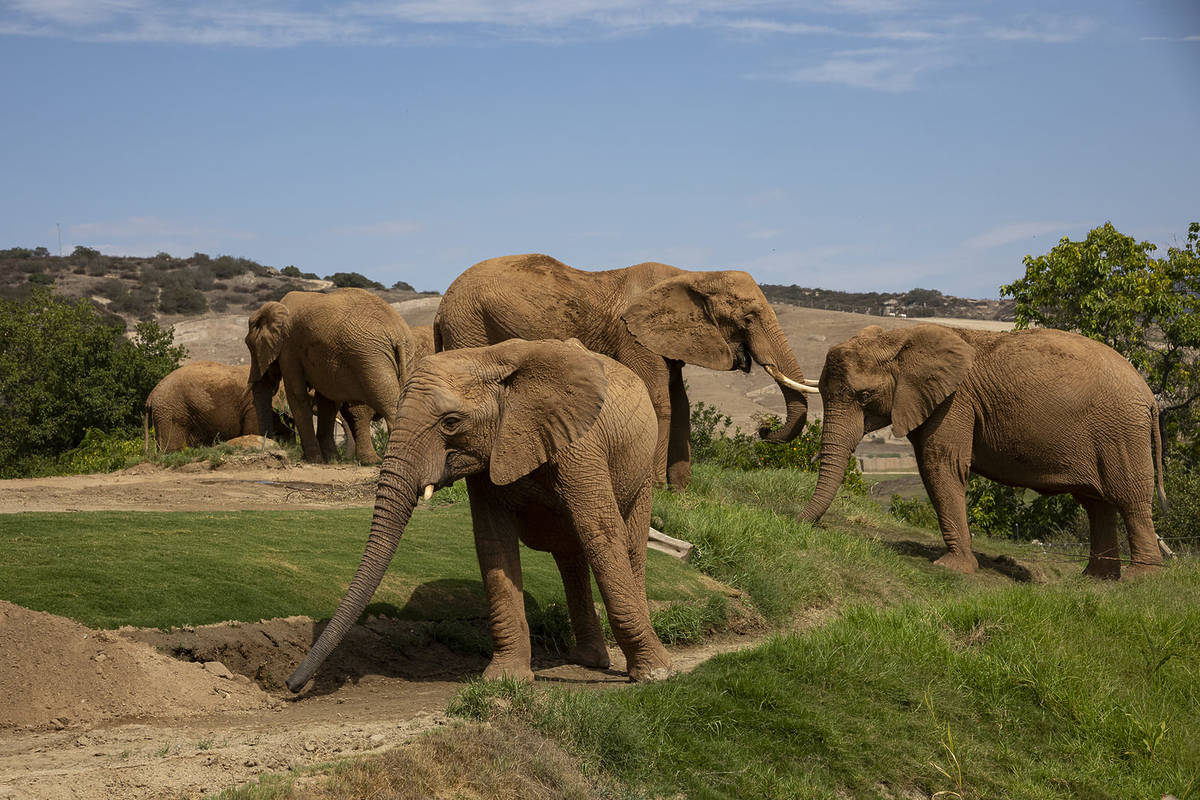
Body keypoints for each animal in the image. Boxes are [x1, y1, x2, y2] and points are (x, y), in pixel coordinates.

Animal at [245, 288, 418, 464]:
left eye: (250, 345)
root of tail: (397, 335)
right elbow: (327, 402)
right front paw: (332, 459)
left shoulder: (289, 349)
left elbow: (297, 396)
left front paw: (313, 460)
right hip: (403, 357)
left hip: (371, 359)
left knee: (389, 407)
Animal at [285, 337, 673, 692]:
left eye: (451, 422)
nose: (291, 684)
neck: (491, 359)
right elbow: (494, 544)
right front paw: (505, 679)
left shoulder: (580, 444)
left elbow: (601, 533)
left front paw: (655, 675)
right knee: (570, 556)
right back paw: (587, 660)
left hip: (640, 469)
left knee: (628, 546)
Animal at [434, 254, 816, 489]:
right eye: (748, 319)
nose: (763, 430)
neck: (693, 274)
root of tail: (442, 305)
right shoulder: (632, 335)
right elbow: (661, 401)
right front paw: (659, 489)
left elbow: (681, 405)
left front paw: (682, 493)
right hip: (470, 324)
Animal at [798, 323, 1167, 579]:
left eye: (864, 396)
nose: (798, 523)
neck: (899, 338)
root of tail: (1149, 396)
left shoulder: (954, 401)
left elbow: (940, 465)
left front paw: (951, 568)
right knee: (1096, 504)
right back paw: (1096, 579)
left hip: (1120, 431)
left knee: (1129, 497)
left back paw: (1139, 578)